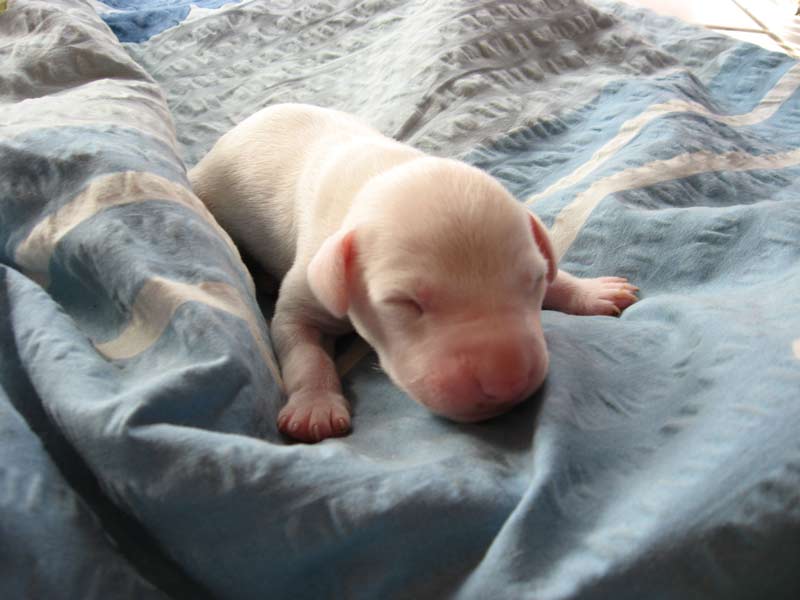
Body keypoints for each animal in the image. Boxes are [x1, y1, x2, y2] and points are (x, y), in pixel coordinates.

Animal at [189, 104, 638, 443]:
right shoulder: (308, 287)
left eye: (534, 282)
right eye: (403, 303)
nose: (507, 382)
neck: (383, 174)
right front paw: (315, 406)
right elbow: (303, 349)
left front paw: (589, 290)